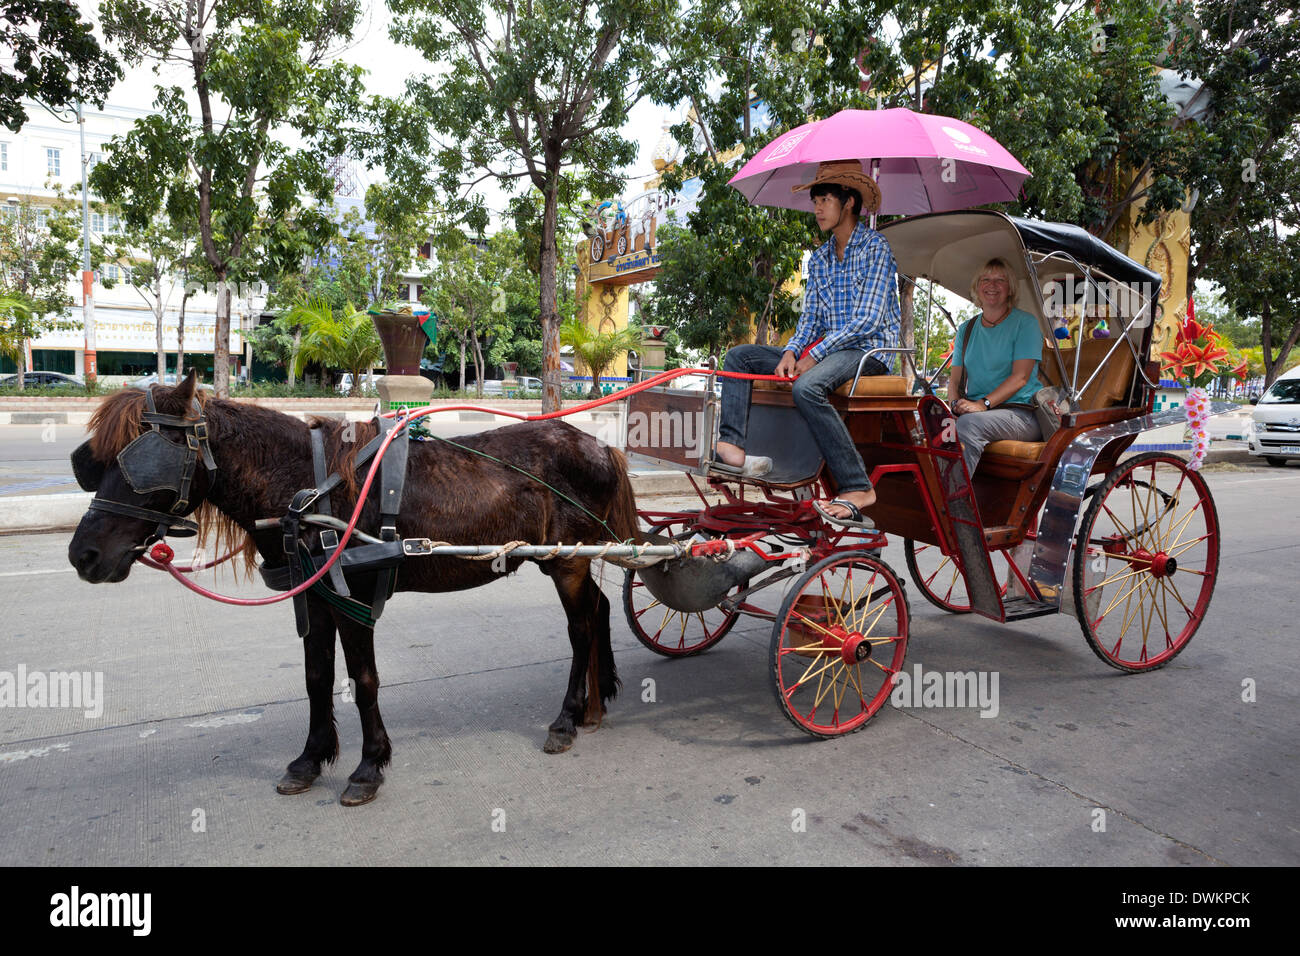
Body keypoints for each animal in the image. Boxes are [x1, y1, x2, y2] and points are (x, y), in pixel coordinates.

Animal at [65, 369, 644, 806]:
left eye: (141, 461)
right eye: (93, 463)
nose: (83, 555)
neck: (304, 487)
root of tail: (599, 445)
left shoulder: (354, 597)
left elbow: (364, 681)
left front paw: (368, 767)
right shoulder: (313, 595)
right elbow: (318, 677)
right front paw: (309, 759)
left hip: (564, 562)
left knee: (580, 628)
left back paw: (567, 719)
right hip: (567, 560)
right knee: (598, 609)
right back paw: (597, 701)